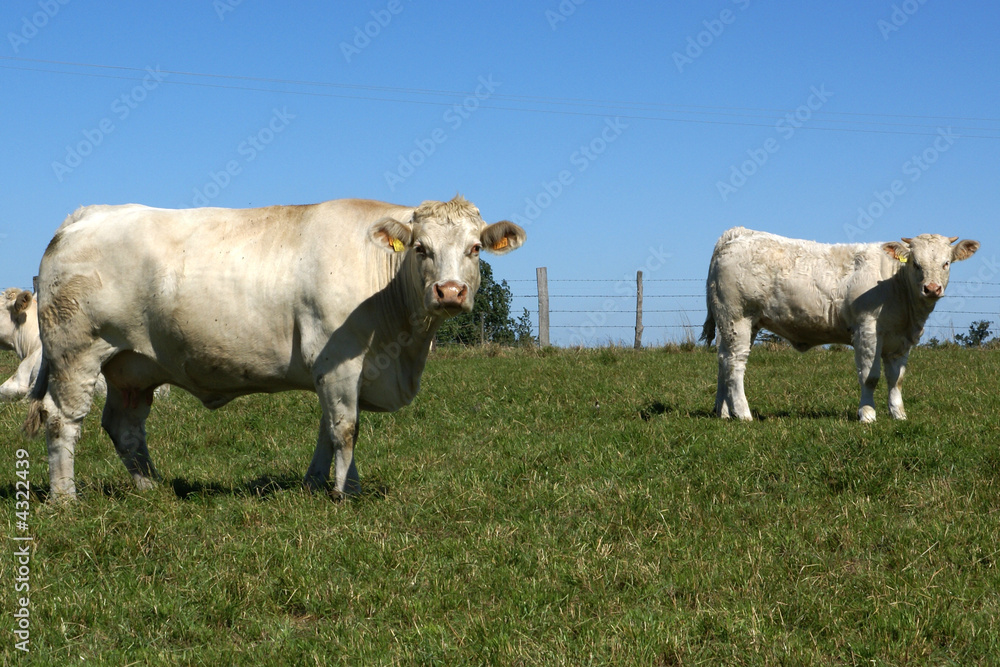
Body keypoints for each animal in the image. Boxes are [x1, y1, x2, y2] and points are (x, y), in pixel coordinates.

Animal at [23, 196, 528, 498]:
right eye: (420, 248)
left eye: (475, 249)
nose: (450, 291)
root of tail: (90, 213)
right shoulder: (337, 361)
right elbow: (345, 429)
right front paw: (344, 494)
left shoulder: (341, 370)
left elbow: (329, 430)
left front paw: (321, 485)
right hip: (76, 353)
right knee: (62, 420)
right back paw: (65, 498)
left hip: (133, 366)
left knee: (125, 427)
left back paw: (152, 489)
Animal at [704, 227, 976, 420]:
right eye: (916, 264)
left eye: (946, 263)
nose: (932, 288)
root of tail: (739, 233)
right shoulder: (867, 330)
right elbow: (870, 376)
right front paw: (867, 414)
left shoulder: (901, 340)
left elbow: (896, 379)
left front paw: (899, 414)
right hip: (737, 316)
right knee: (735, 363)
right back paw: (743, 413)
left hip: (739, 324)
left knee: (723, 360)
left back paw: (724, 412)